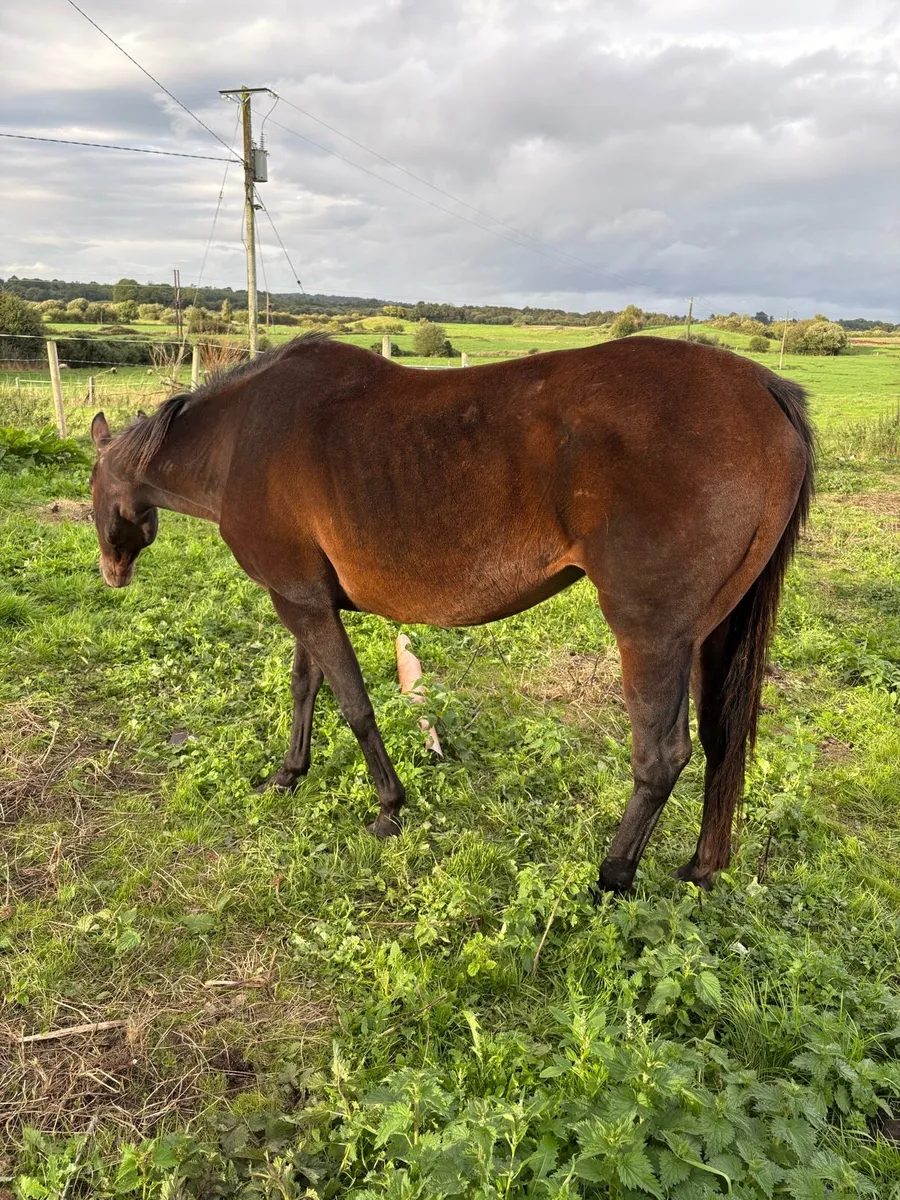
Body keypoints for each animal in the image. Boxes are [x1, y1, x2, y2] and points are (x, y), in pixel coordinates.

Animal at [88, 332, 814, 892]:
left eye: (92, 487)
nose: (112, 574)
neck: (239, 439)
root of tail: (764, 388)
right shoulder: (302, 598)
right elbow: (305, 688)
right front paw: (288, 775)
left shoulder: (301, 602)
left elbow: (354, 704)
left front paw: (388, 807)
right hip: (713, 633)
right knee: (723, 741)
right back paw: (701, 870)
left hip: (653, 637)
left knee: (662, 757)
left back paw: (610, 878)